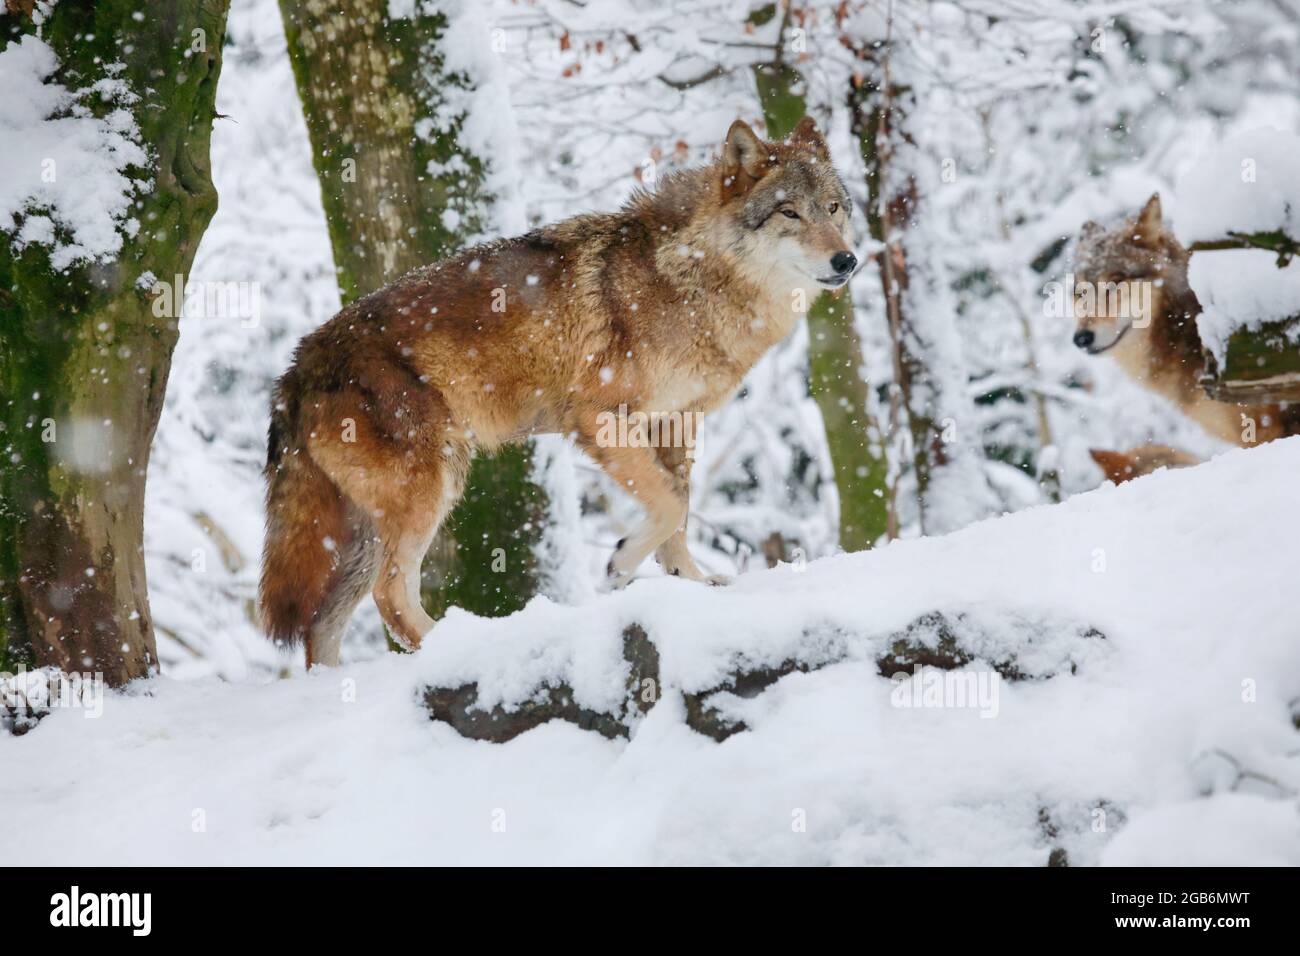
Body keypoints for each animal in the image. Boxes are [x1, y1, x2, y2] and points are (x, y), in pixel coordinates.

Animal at [258, 117, 857, 665]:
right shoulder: (601, 419)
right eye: (789, 212)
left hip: (367, 529)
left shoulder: (677, 423)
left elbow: (681, 509)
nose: (847, 260)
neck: (691, 279)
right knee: (390, 594)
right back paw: (467, 648)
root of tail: (296, 367)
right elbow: (669, 502)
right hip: (431, 488)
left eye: (833, 208)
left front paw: (691, 581)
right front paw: (621, 565)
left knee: (322, 626)